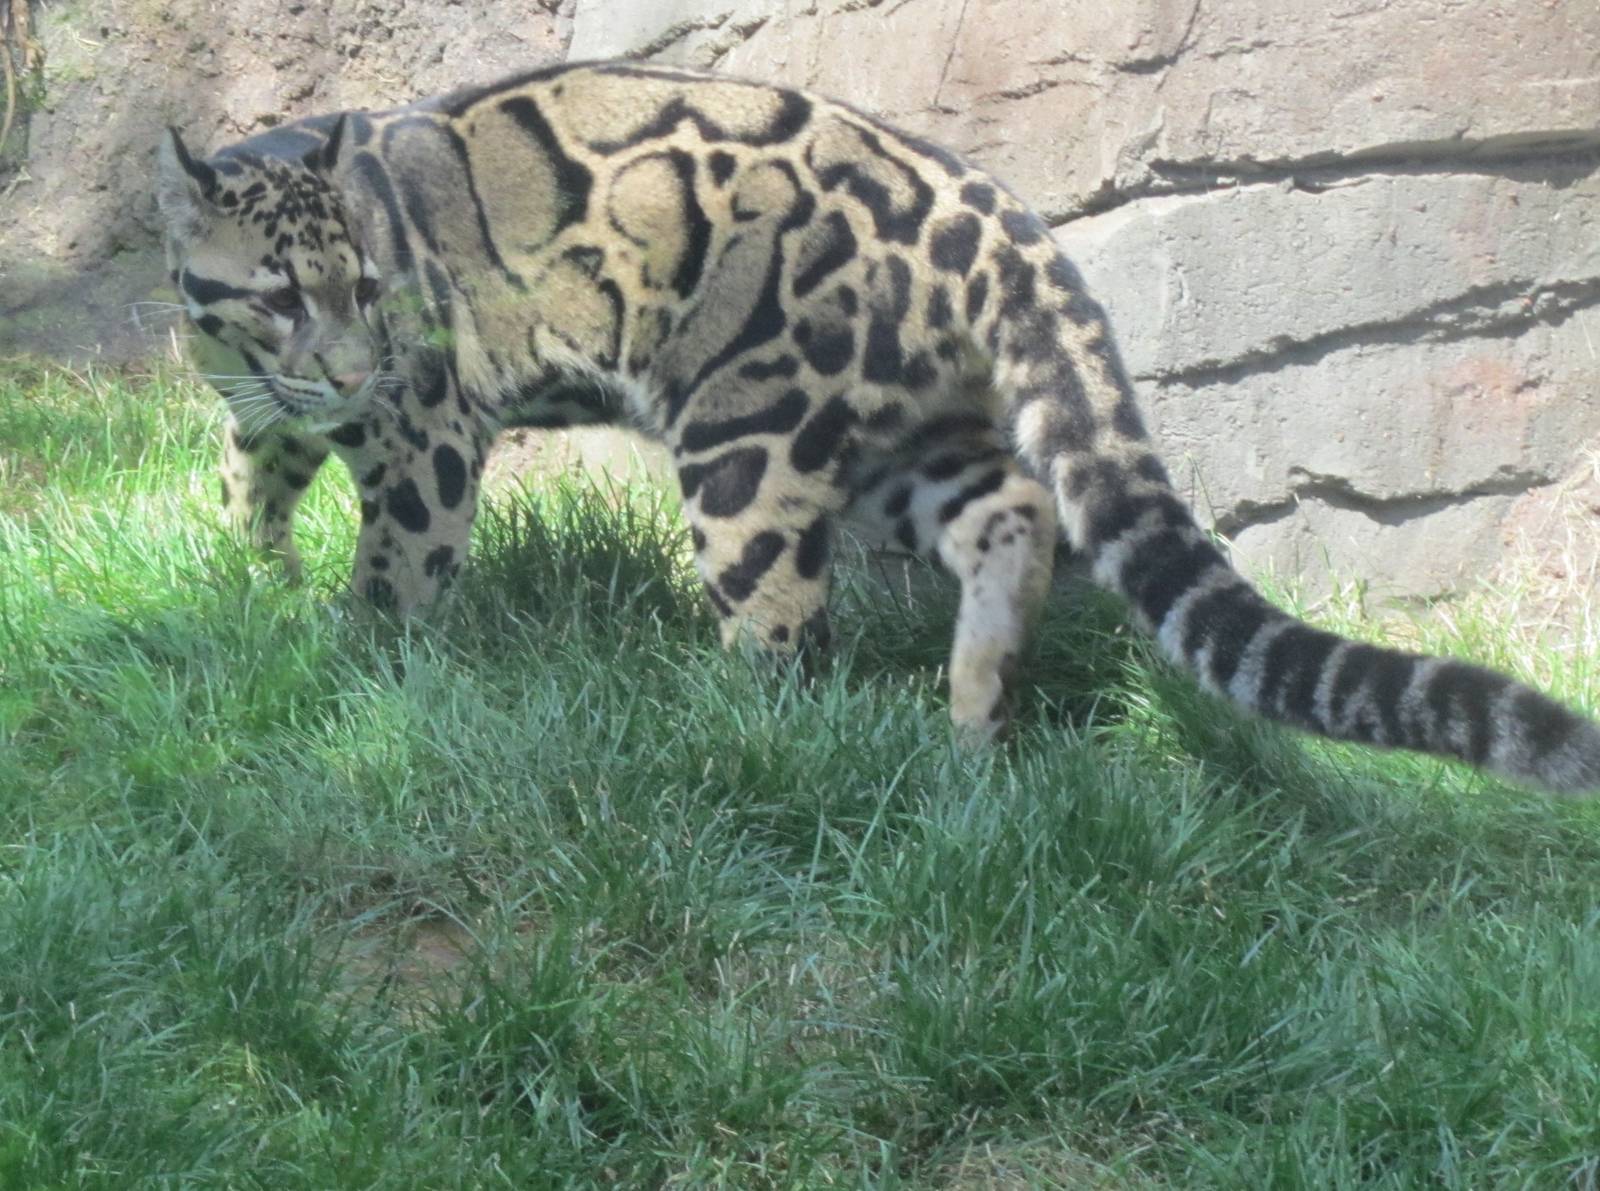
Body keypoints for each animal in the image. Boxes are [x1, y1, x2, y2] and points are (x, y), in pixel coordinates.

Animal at [155, 59, 1600, 795]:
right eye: (283, 294)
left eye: (365, 288)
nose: (352, 364)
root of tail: (990, 210)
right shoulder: (277, 406)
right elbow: (250, 474)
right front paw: (249, 579)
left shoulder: (427, 434)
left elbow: (395, 568)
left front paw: (349, 674)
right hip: (895, 436)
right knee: (1012, 512)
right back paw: (976, 706)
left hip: (743, 434)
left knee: (790, 640)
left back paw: (734, 738)